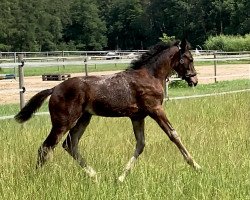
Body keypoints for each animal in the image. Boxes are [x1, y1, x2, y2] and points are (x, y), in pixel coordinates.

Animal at [14, 38, 201, 181]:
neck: (150, 76)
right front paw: (196, 166)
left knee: (70, 144)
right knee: (46, 147)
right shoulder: (155, 109)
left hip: (83, 119)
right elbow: (173, 135)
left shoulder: (138, 117)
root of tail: (54, 89)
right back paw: (36, 177)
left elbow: (140, 144)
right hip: (63, 122)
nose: (195, 80)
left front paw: (121, 177)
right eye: (190, 59)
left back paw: (94, 175)